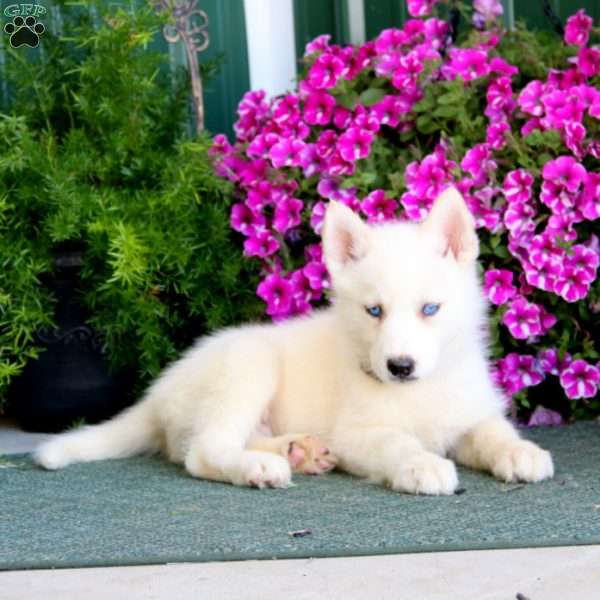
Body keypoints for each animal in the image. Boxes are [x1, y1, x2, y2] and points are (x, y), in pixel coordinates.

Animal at [34, 190, 552, 494]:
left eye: (430, 309)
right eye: (374, 311)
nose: (400, 367)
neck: (420, 391)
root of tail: (159, 393)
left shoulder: (469, 414)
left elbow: (493, 433)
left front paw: (520, 452)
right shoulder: (356, 433)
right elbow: (397, 442)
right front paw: (421, 465)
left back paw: (296, 451)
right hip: (249, 362)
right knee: (203, 451)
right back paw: (260, 467)